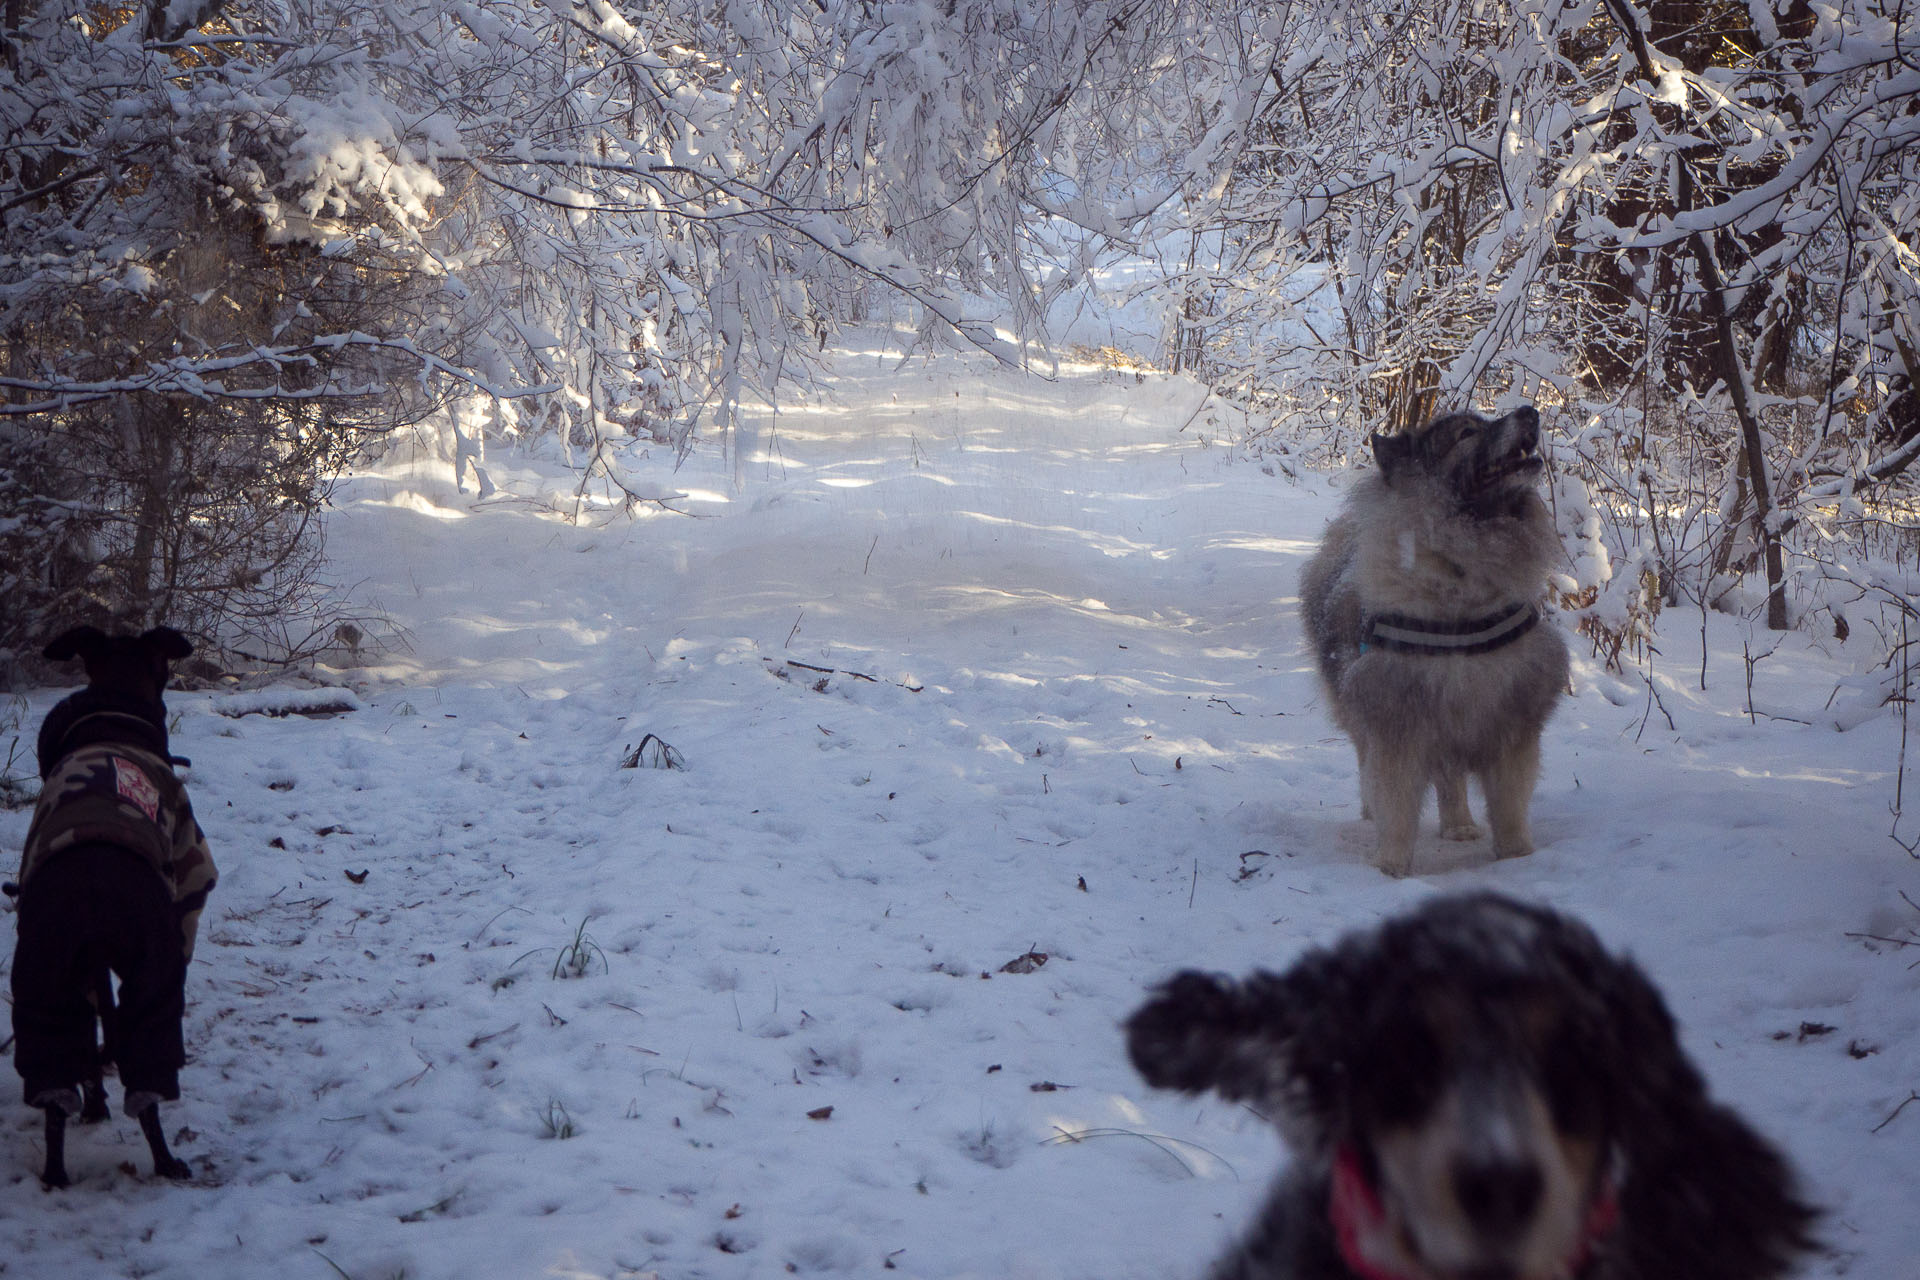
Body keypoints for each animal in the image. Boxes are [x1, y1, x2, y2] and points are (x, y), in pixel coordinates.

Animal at [9, 625, 217, 1189]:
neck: (115, 713)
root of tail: (93, 885)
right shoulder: (190, 886)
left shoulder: (87, 968)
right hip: (152, 973)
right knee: (146, 1078)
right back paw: (167, 1162)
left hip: (44, 977)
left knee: (56, 1080)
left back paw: (58, 1169)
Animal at [1297, 410, 1566, 882]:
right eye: (1466, 433)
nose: (1530, 412)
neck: (1461, 581)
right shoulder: (1397, 720)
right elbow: (1397, 808)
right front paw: (1390, 868)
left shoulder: (1510, 719)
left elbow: (1510, 806)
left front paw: (1517, 858)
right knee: (1374, 768)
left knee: (1450, 779)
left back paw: (1459, 824)